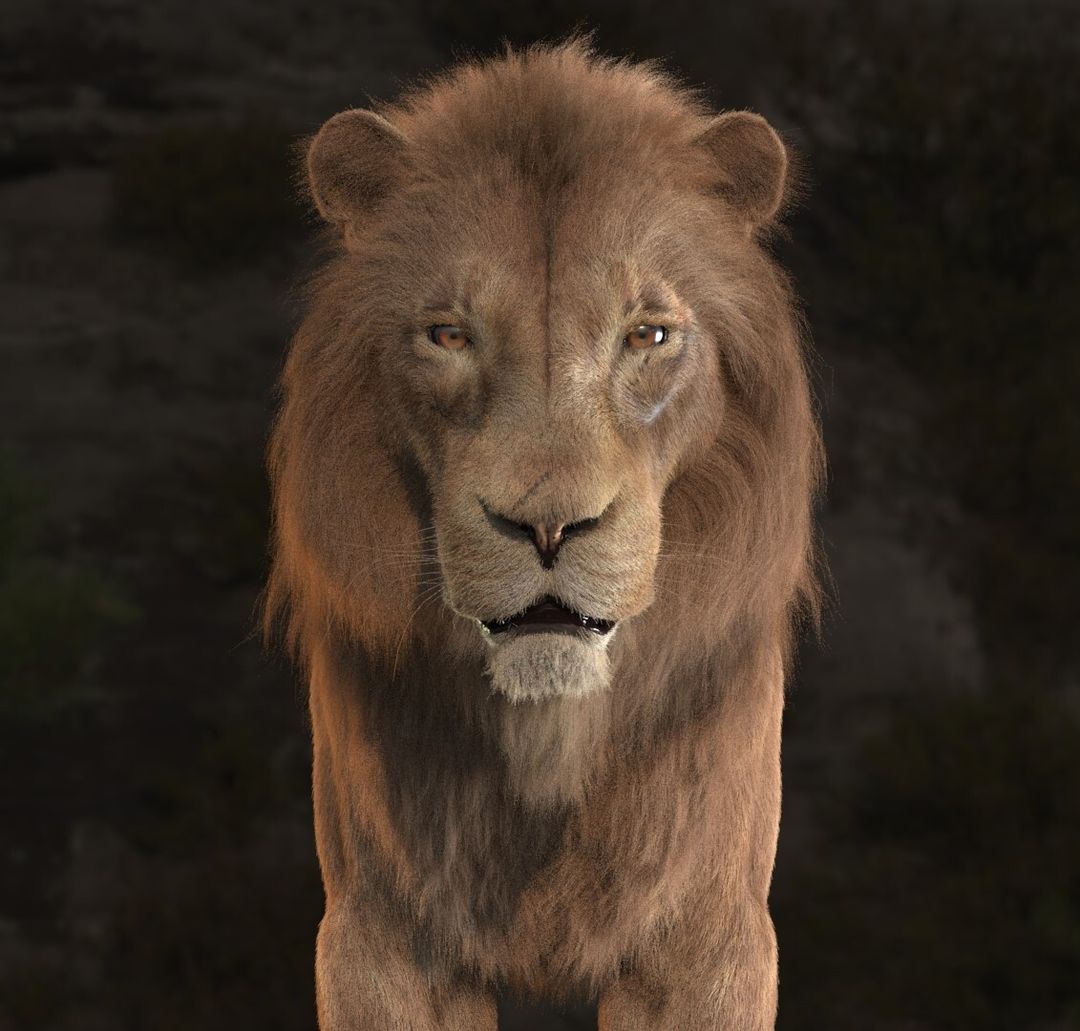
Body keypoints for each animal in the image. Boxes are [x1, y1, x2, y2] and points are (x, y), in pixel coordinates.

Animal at [265, 35, 824, 1031]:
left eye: (648, 334)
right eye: (448, 334)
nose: (550, 526)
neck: (549, 744)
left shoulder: (708, 936)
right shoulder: (379, 933)